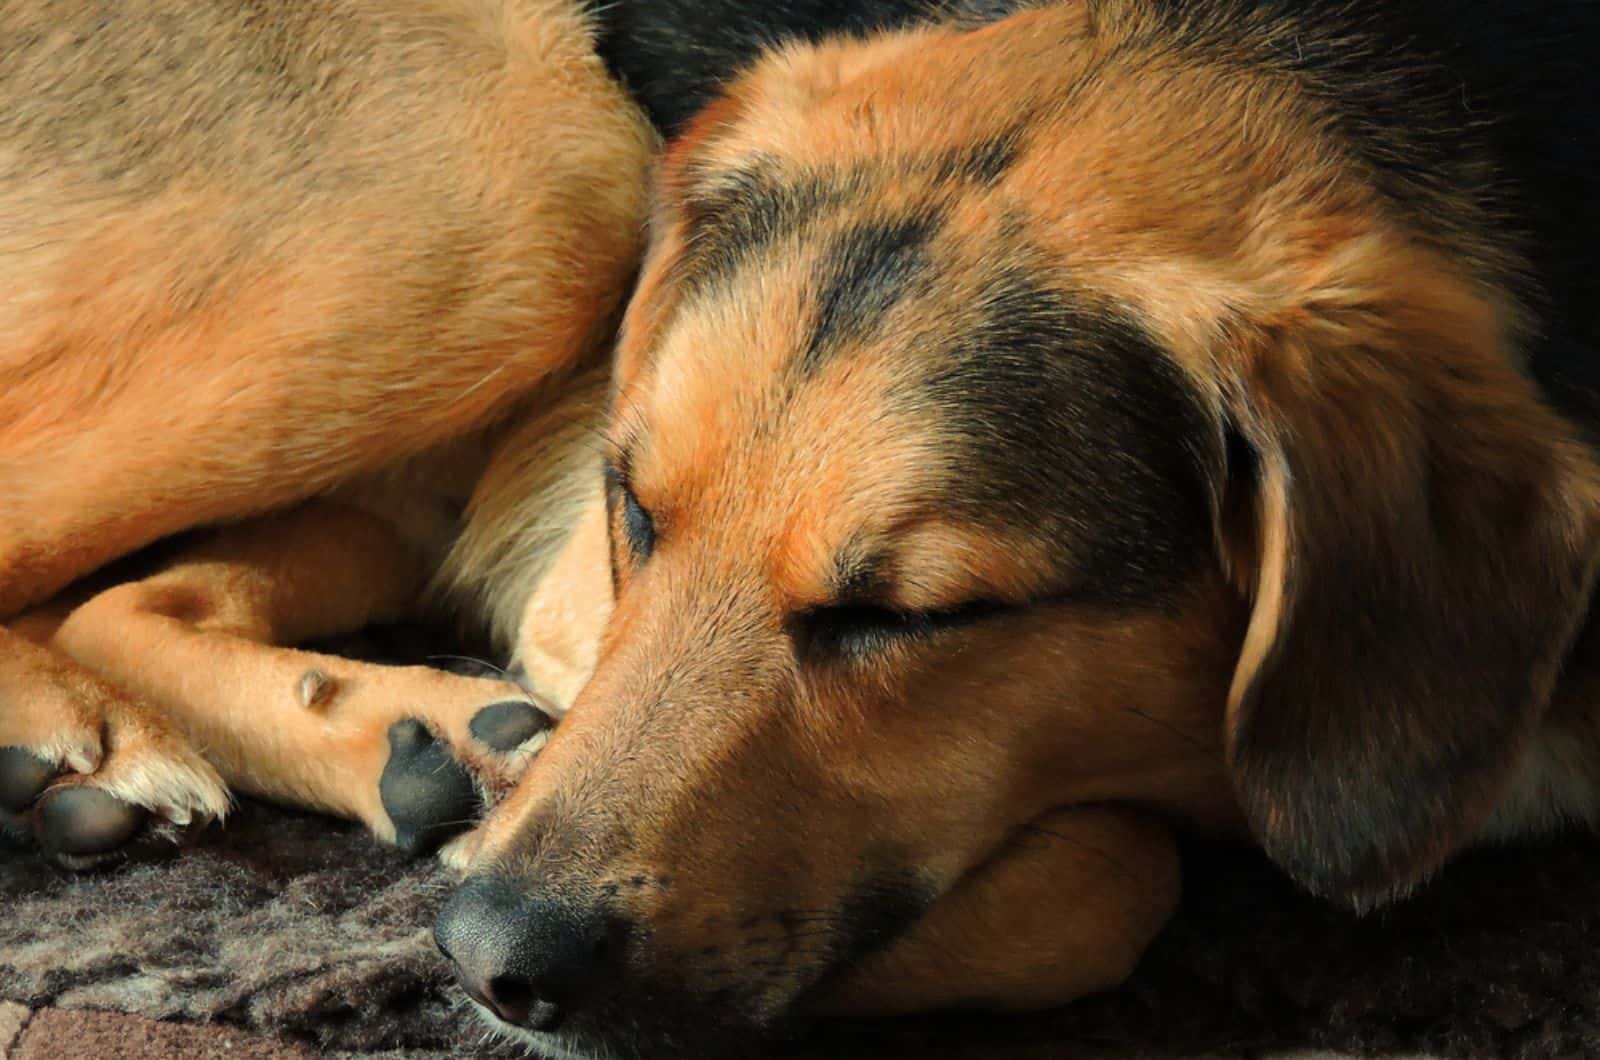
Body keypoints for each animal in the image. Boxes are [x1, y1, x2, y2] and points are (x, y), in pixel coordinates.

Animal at [3, 0, 1600, 1056]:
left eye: (913, 614)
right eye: (636, 509)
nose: (482, 959)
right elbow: (1116, 877)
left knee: (133, 600)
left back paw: (420, 748)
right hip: (529, 185)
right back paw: (90, 740)